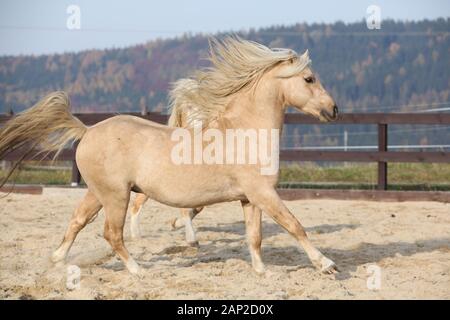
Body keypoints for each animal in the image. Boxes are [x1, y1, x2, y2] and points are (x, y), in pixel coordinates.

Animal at [0, 37, 338, 276]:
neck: (244, 132)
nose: (333, 110)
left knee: (77, 221)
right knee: (112, 233)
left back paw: (56, 260)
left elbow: (254, 237)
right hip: (116, 195)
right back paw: (138, 270)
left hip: (99, 193)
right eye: (309, 79)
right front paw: (326, 265)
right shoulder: (264, 193)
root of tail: (88, 130)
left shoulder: (250, 198)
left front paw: (262, 271)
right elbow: (294, 225)